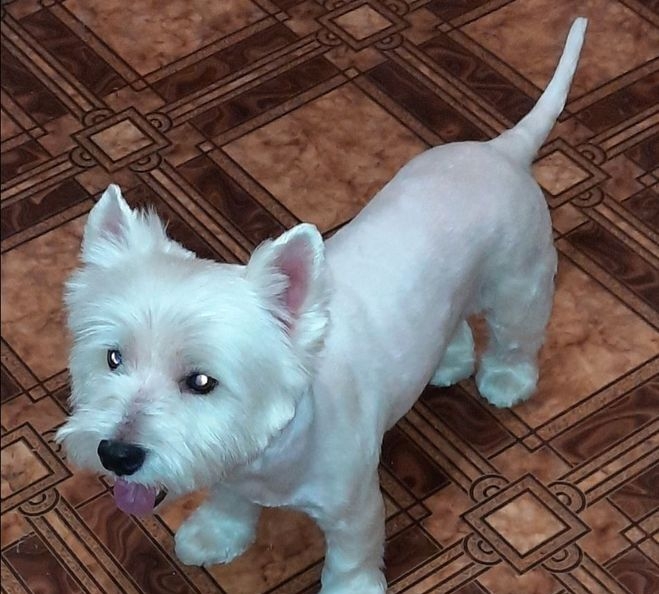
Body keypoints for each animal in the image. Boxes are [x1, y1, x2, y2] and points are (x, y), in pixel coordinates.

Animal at [57, 18, 587, 593]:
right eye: (113, 358)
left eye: (200, 381)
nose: (117, 454)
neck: (272, 450)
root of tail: (502, 151)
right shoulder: (228, 468)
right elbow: (228, 501)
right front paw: (214, 535)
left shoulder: (354, 507)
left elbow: (352, 556)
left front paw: (349, 587)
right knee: (456, 323)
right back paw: (448, 364)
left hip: (520, 283)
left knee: (517, 335)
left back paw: (506, 380)